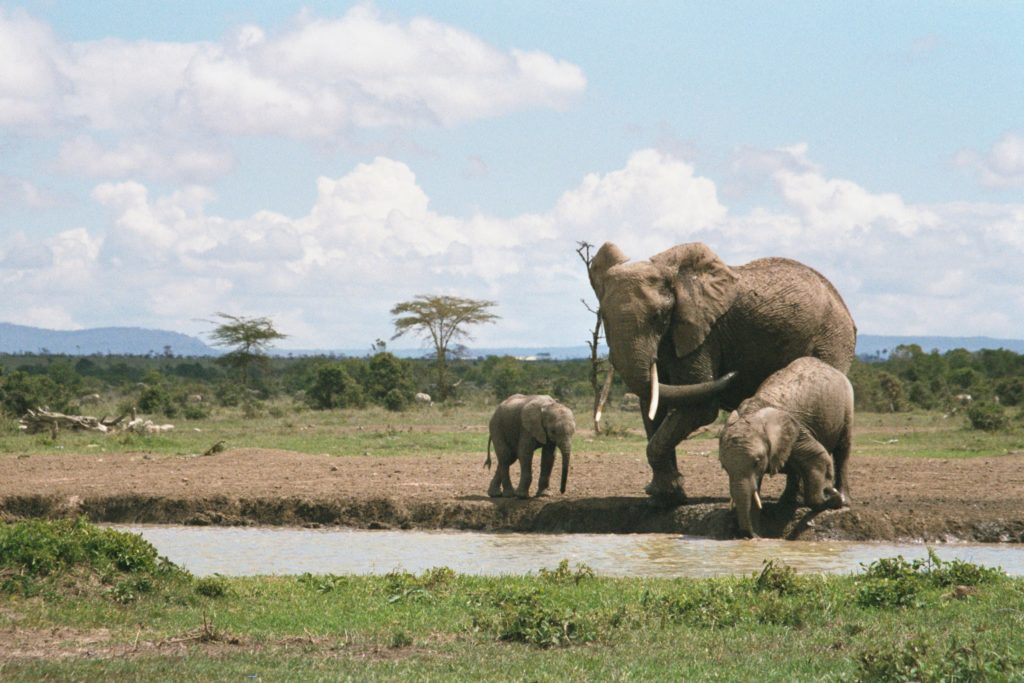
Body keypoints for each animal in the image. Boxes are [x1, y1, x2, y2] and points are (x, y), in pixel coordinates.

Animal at [585, 242, 856, 505]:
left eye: (658, 317)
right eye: (603, 317)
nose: (733, 373)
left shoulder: (703, 333)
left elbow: (699, 406)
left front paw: (665, 496)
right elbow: (653, 403)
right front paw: (663, 497)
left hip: (832, 339)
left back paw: (802, 501)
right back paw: (789, 500)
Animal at [720, 356, 856, 536]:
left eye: (757, 462)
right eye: (724, 467)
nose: (750, 535)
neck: (753, 412)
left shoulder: (798, 430)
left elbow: (818, 456)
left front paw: (831, 497)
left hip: (847, 404)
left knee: (842, 450)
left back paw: (843, 499)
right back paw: (787, 503)